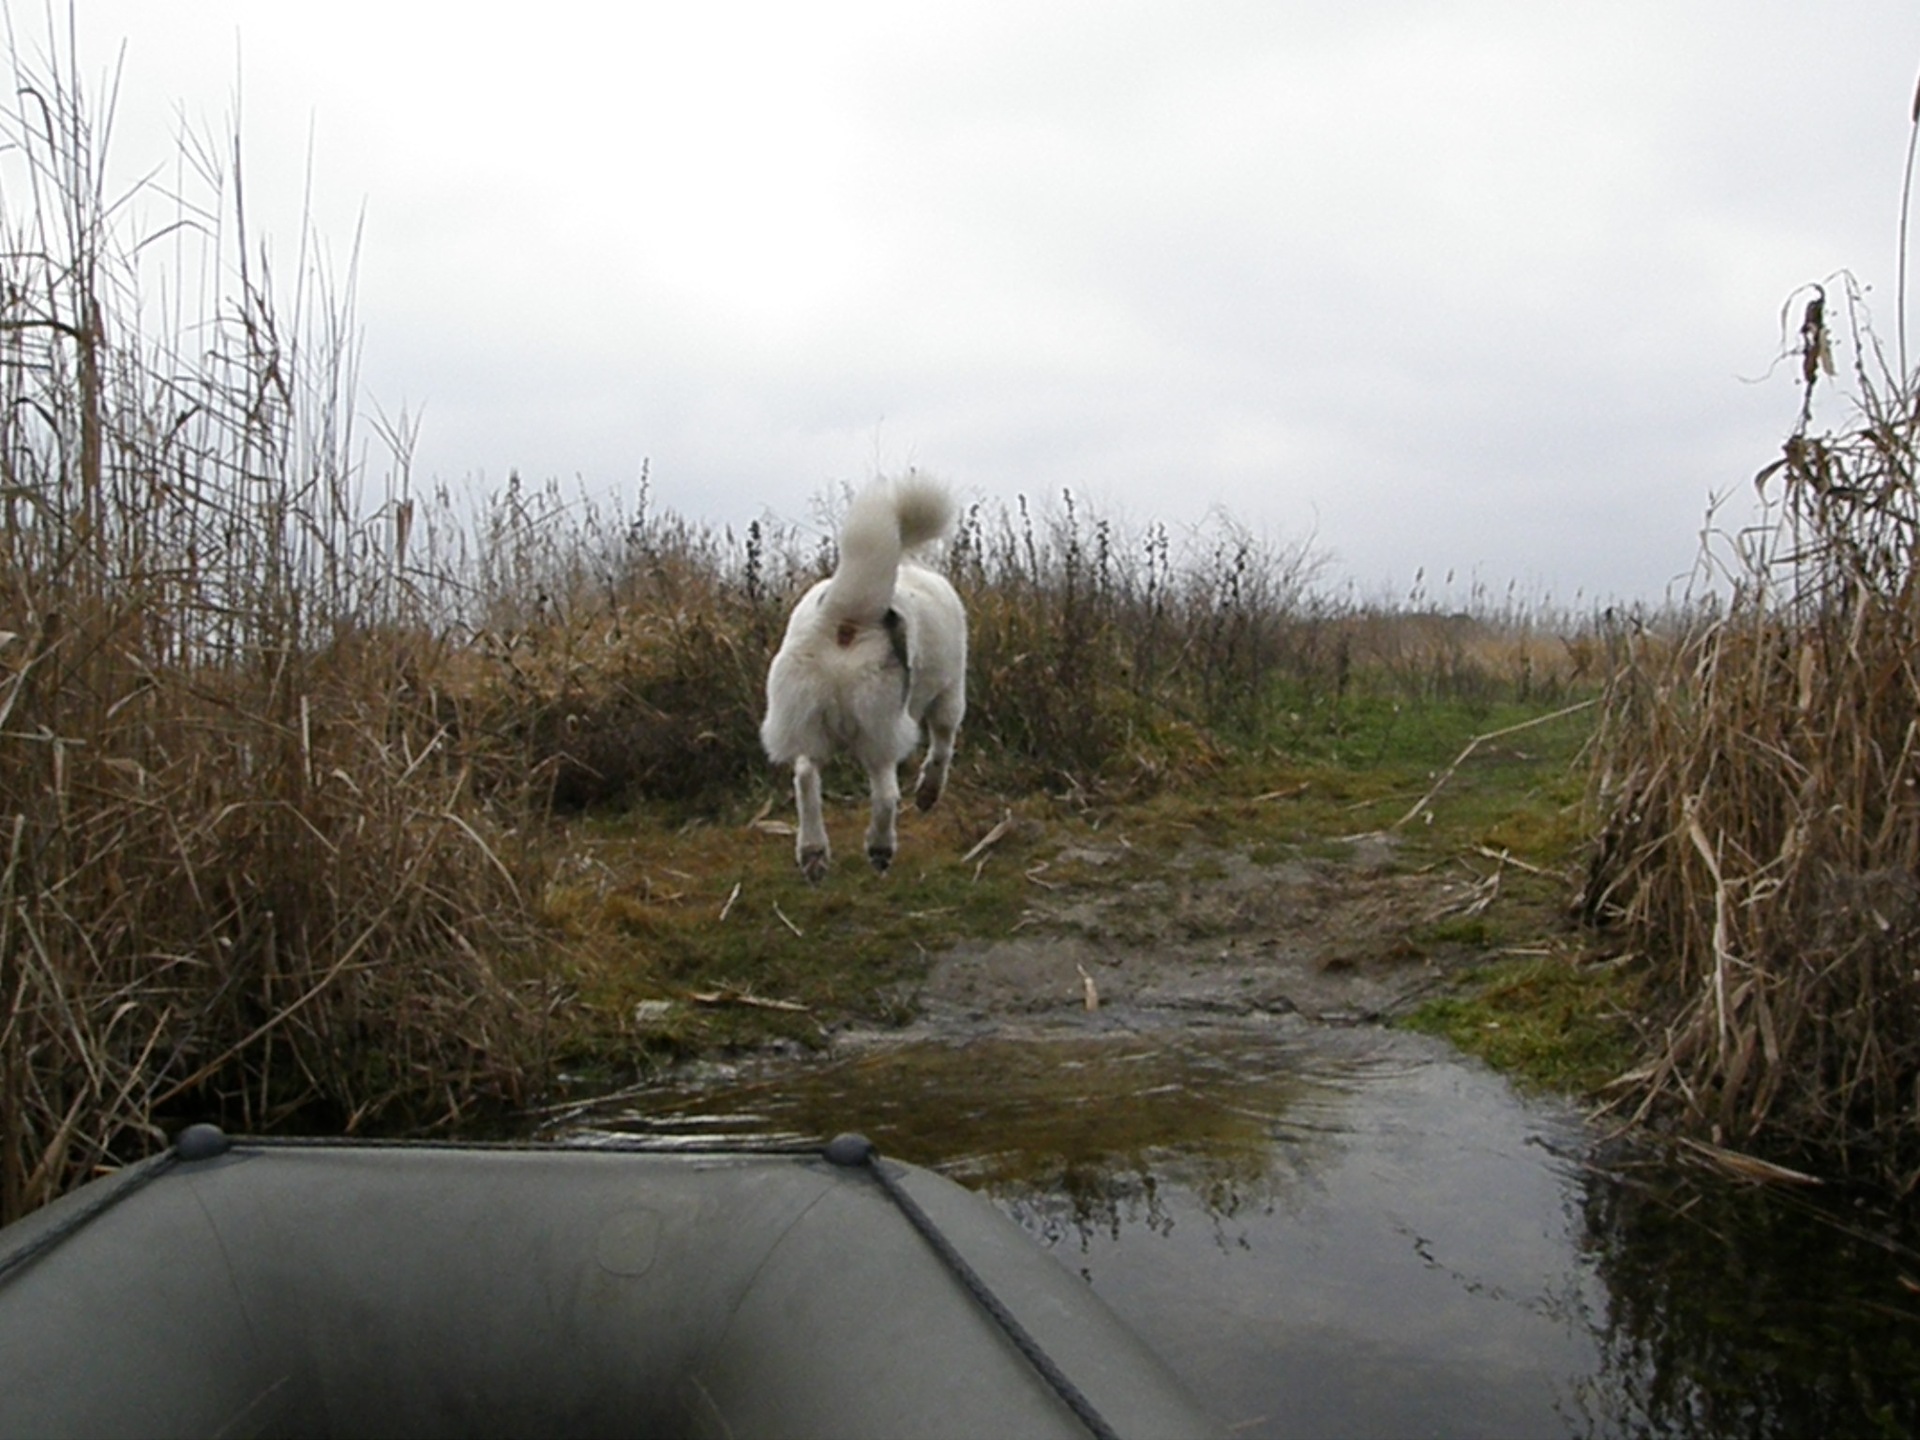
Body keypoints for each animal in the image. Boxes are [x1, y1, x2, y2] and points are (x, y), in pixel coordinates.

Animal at [756, 476, 967, 879]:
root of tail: (848, 615)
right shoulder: (950, 697)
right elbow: (941, 751)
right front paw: (928, 794)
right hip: (882, 727)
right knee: (886, 795)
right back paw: (880, 848)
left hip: (803, 717)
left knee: (805, 776)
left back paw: (813, 852)